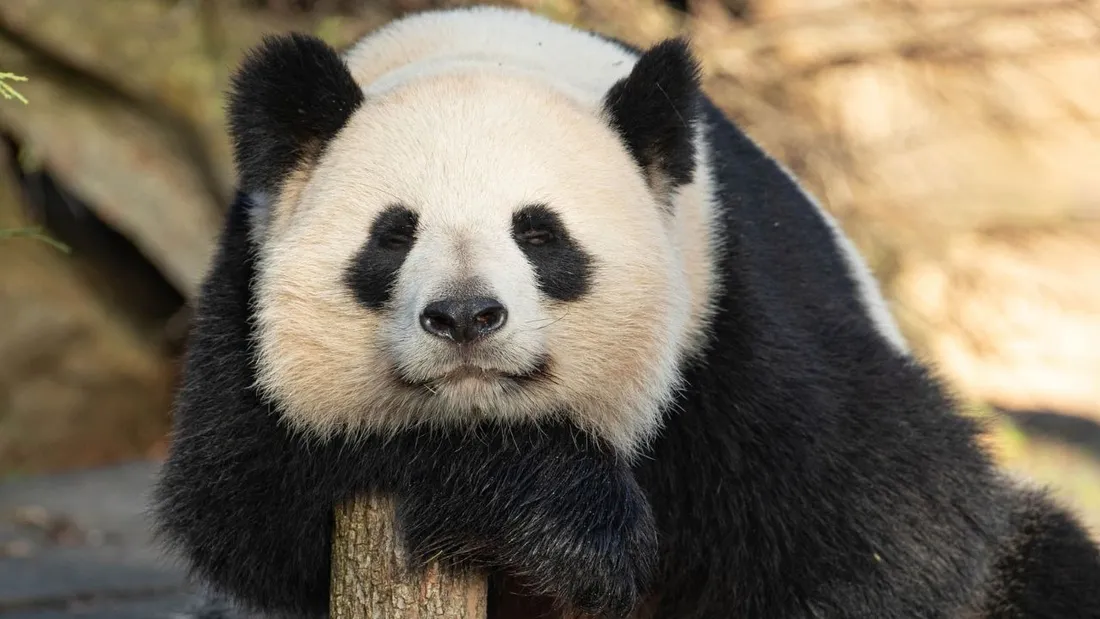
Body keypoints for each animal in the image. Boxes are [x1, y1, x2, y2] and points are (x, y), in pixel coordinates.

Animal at [152, 5, 1100, 619]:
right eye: (393, 234)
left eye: (539, 232)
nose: (465, 316)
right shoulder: (242, 291)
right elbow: (244, 492)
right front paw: (555, 519)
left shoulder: (734, 319)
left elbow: (902, 524)